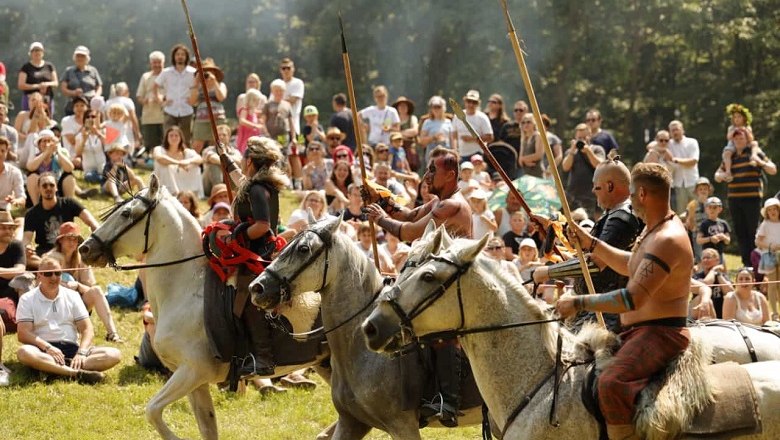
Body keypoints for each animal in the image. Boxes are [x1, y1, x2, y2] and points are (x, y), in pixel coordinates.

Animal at [81, 175, 330, 440]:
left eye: (126, 213)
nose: (85, 248)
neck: (184, 289)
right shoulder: (194, 382)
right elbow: (206, 427)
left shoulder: (191, 372)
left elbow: (152, 410)